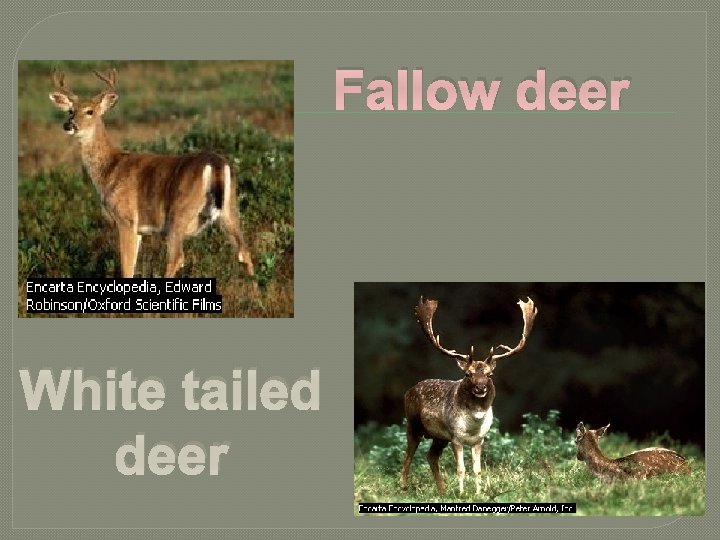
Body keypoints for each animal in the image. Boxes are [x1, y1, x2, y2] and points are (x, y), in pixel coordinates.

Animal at [48, 69, 255, 280]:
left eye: (90, 111)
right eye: (70, 110)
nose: (69, 125)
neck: (110, 169)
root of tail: (216, 164)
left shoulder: (126, 219)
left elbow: (127, 268)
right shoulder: (139, 229)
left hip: (179, 212)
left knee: (177, 257)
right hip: (230, 207)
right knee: (244, 251)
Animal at [401, 296, 538, 495]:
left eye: (489, 375)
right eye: (468, 374)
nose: (481, 388)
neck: (473, 425)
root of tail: (408, 391)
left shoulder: (479, 440)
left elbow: (477, 469)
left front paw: (478, 493)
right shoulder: (455, 437)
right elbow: (461, 469)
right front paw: (461, 493)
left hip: (439, 437)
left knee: (431, 456)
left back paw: (442, 490)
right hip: (413, 424)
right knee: (408, 456)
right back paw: (403, 486)